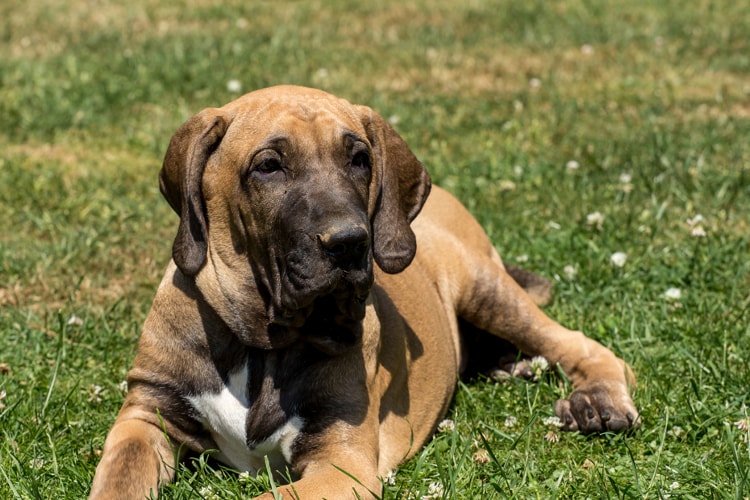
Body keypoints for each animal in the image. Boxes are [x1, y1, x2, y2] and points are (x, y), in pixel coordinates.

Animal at [89, 86, 640, 500]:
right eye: (269, 166)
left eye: (359, 159)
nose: (351, 243)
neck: (260, 344)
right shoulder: (146, 413)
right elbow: (118, 479)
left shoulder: (341, 462)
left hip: (484, 287)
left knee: (581, 345)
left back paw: (594, 399)